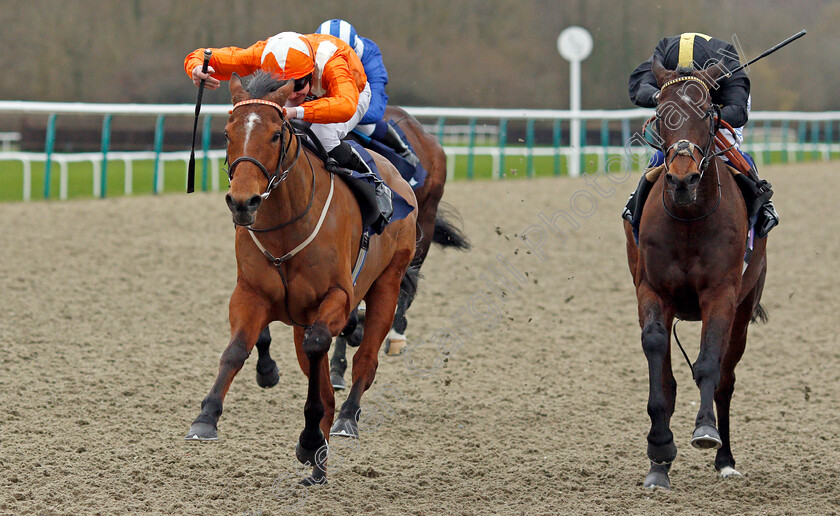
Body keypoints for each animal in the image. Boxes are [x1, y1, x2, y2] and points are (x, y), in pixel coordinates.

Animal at [186, 70, 416, 486]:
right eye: (227, 132)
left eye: (276, 134)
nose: (243, 202)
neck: (286, 226)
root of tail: (399, 178)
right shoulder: (251, 294)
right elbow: (236, 350)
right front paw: (206, 417)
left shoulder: (337, 299)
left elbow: (320, 350)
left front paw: (309, 438)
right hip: (301, 319)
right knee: (323, 380)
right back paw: (318, 465)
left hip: (386, 285)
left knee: (365, 362)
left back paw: (344, 421)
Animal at [624, 58, 768, 490]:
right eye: (660, 111)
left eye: (707, 112)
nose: (683, 178)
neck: (689, 216)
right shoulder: (652, 290)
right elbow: (659, 360)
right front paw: (659, 451)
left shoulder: (721, 294)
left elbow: (708, 364)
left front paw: (705, 430)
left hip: (744, 309)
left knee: (726, 378)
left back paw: (726, 459)